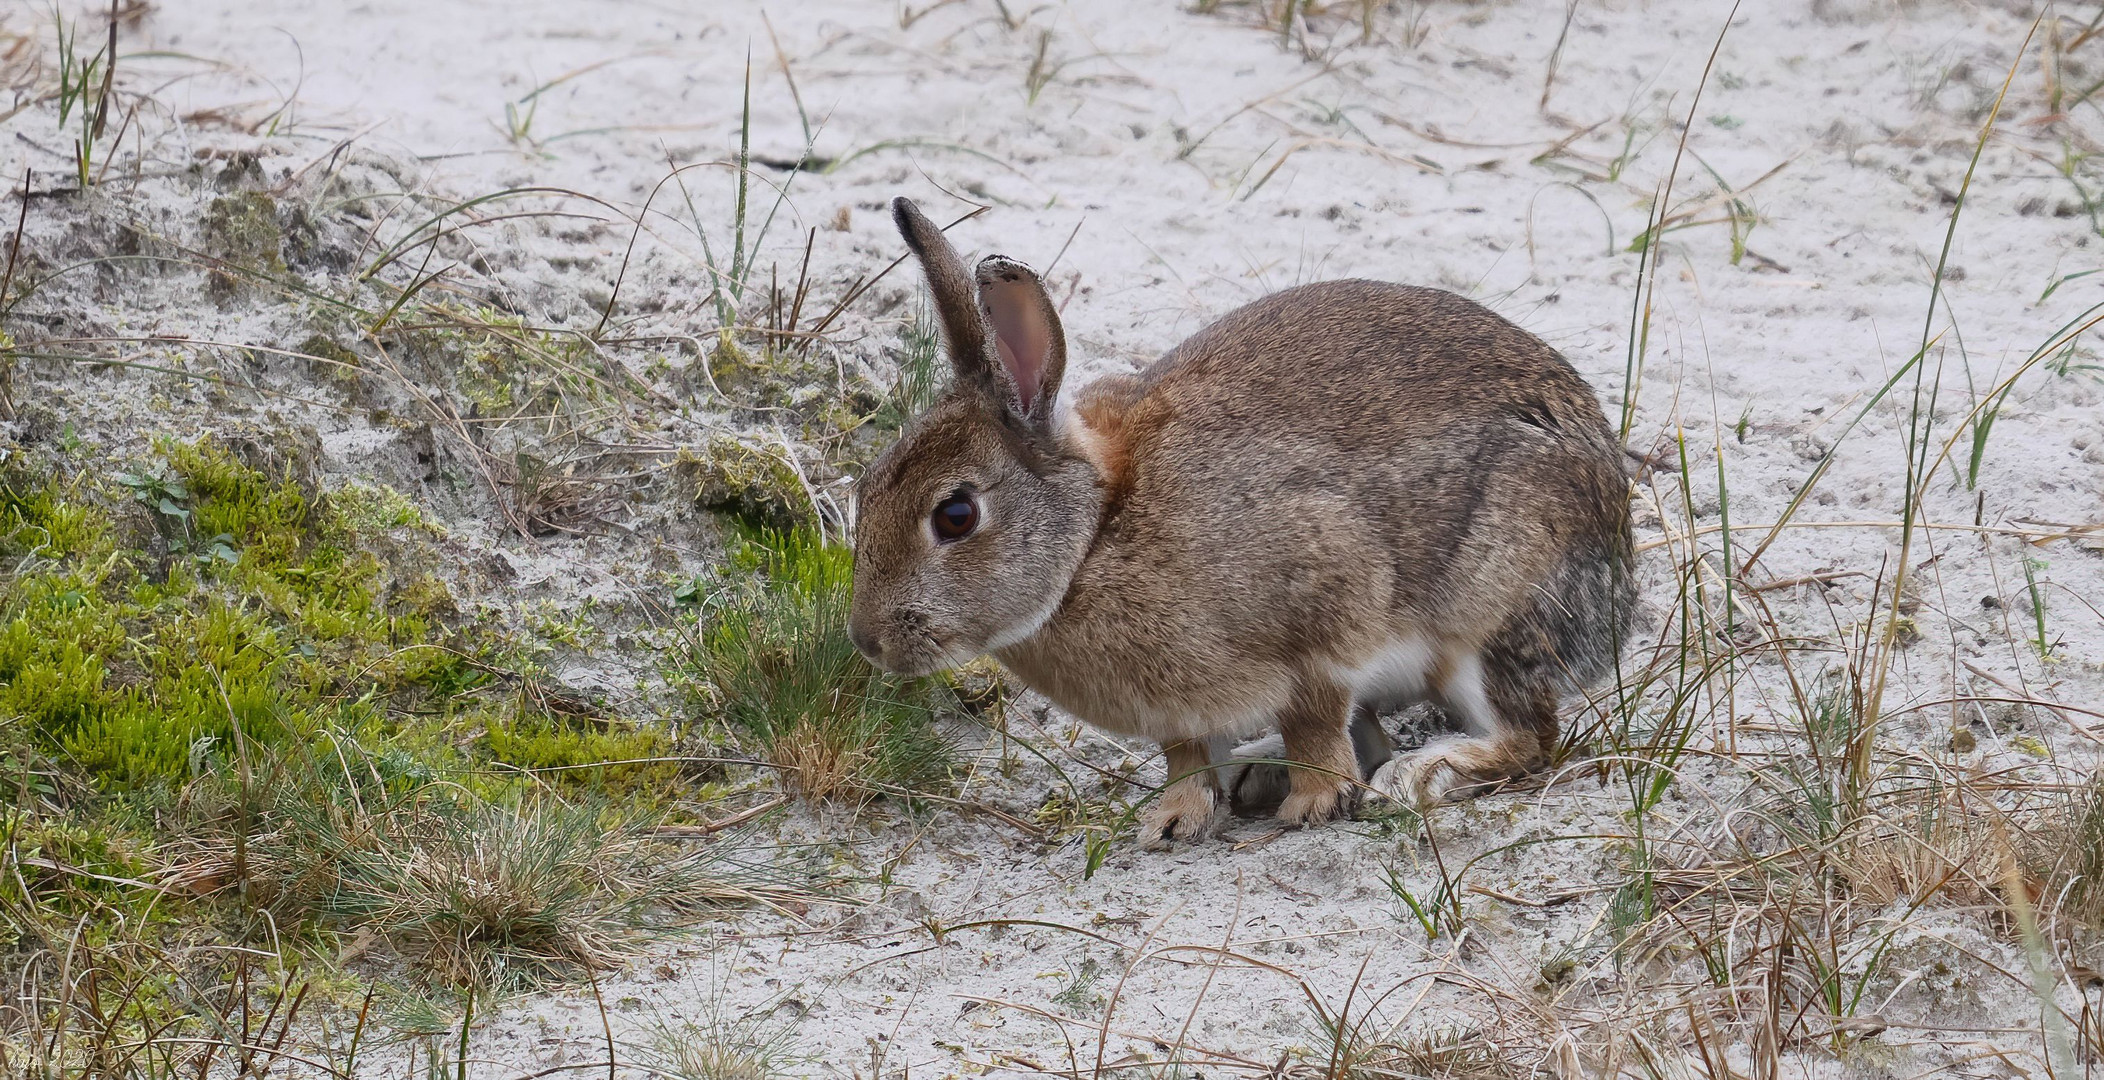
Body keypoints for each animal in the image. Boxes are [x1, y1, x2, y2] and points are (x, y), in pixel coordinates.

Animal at [845, 197, 1632, 846]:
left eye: (955, 515)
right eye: (869, 485)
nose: (867, 642)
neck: (1095, 531)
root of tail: (1620, 595)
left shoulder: (1325, 614)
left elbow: (1316, 716)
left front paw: (1314, 803)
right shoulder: (1178, 714)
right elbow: (1187, 758)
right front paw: (1171, 821)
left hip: (1495, 609)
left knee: (1527, 738)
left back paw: (1414, 776)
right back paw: (1259, 770)